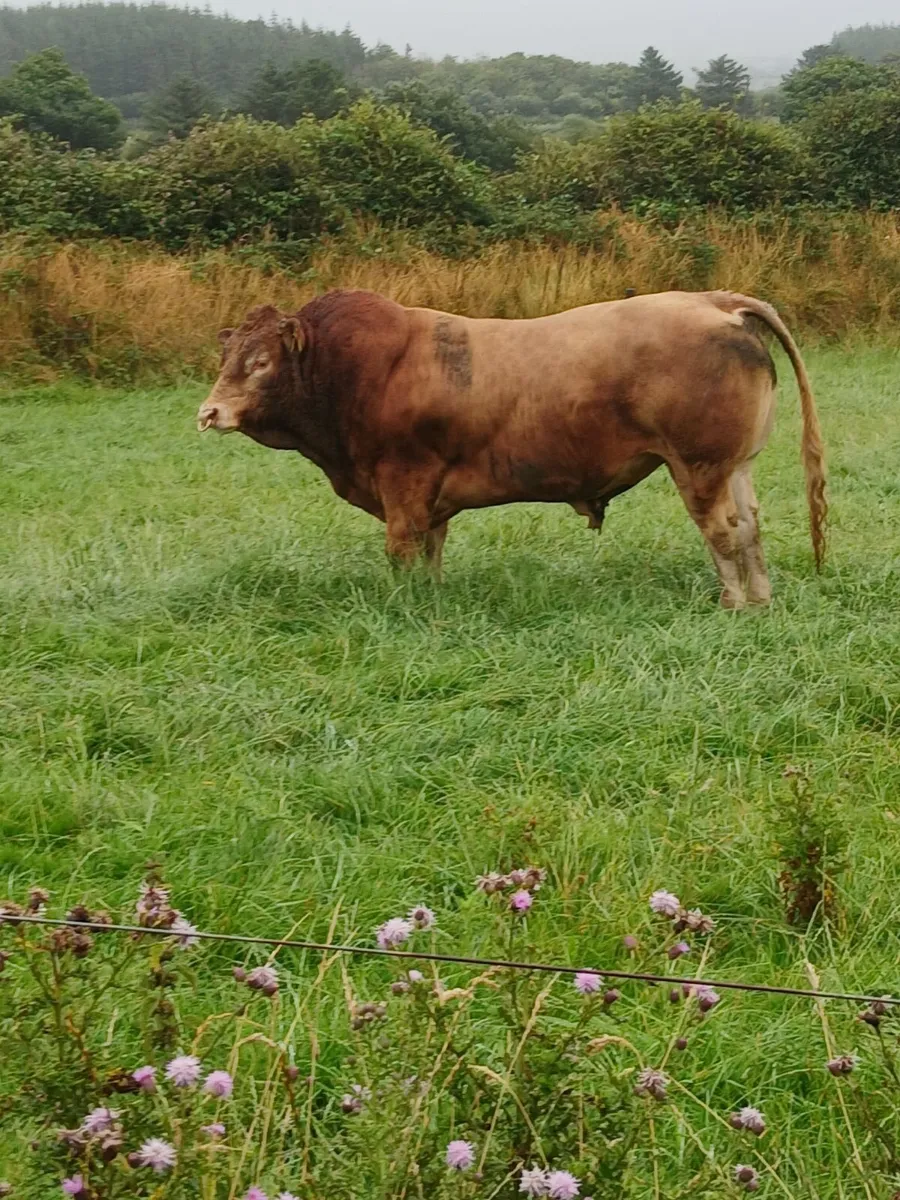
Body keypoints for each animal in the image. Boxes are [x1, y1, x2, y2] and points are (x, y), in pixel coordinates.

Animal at [197, 289, 826, 608]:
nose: (209, 413)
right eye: (227, 357)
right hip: (735, 466)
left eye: (260, 361)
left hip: (698, 467)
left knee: (722, 532)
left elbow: (402, 551)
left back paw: (734, 603)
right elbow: (433, 549)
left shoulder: (403, 485)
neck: (359, 372)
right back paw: (762, 599)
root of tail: (714, 301)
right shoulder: (430, 497)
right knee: (751, 526)